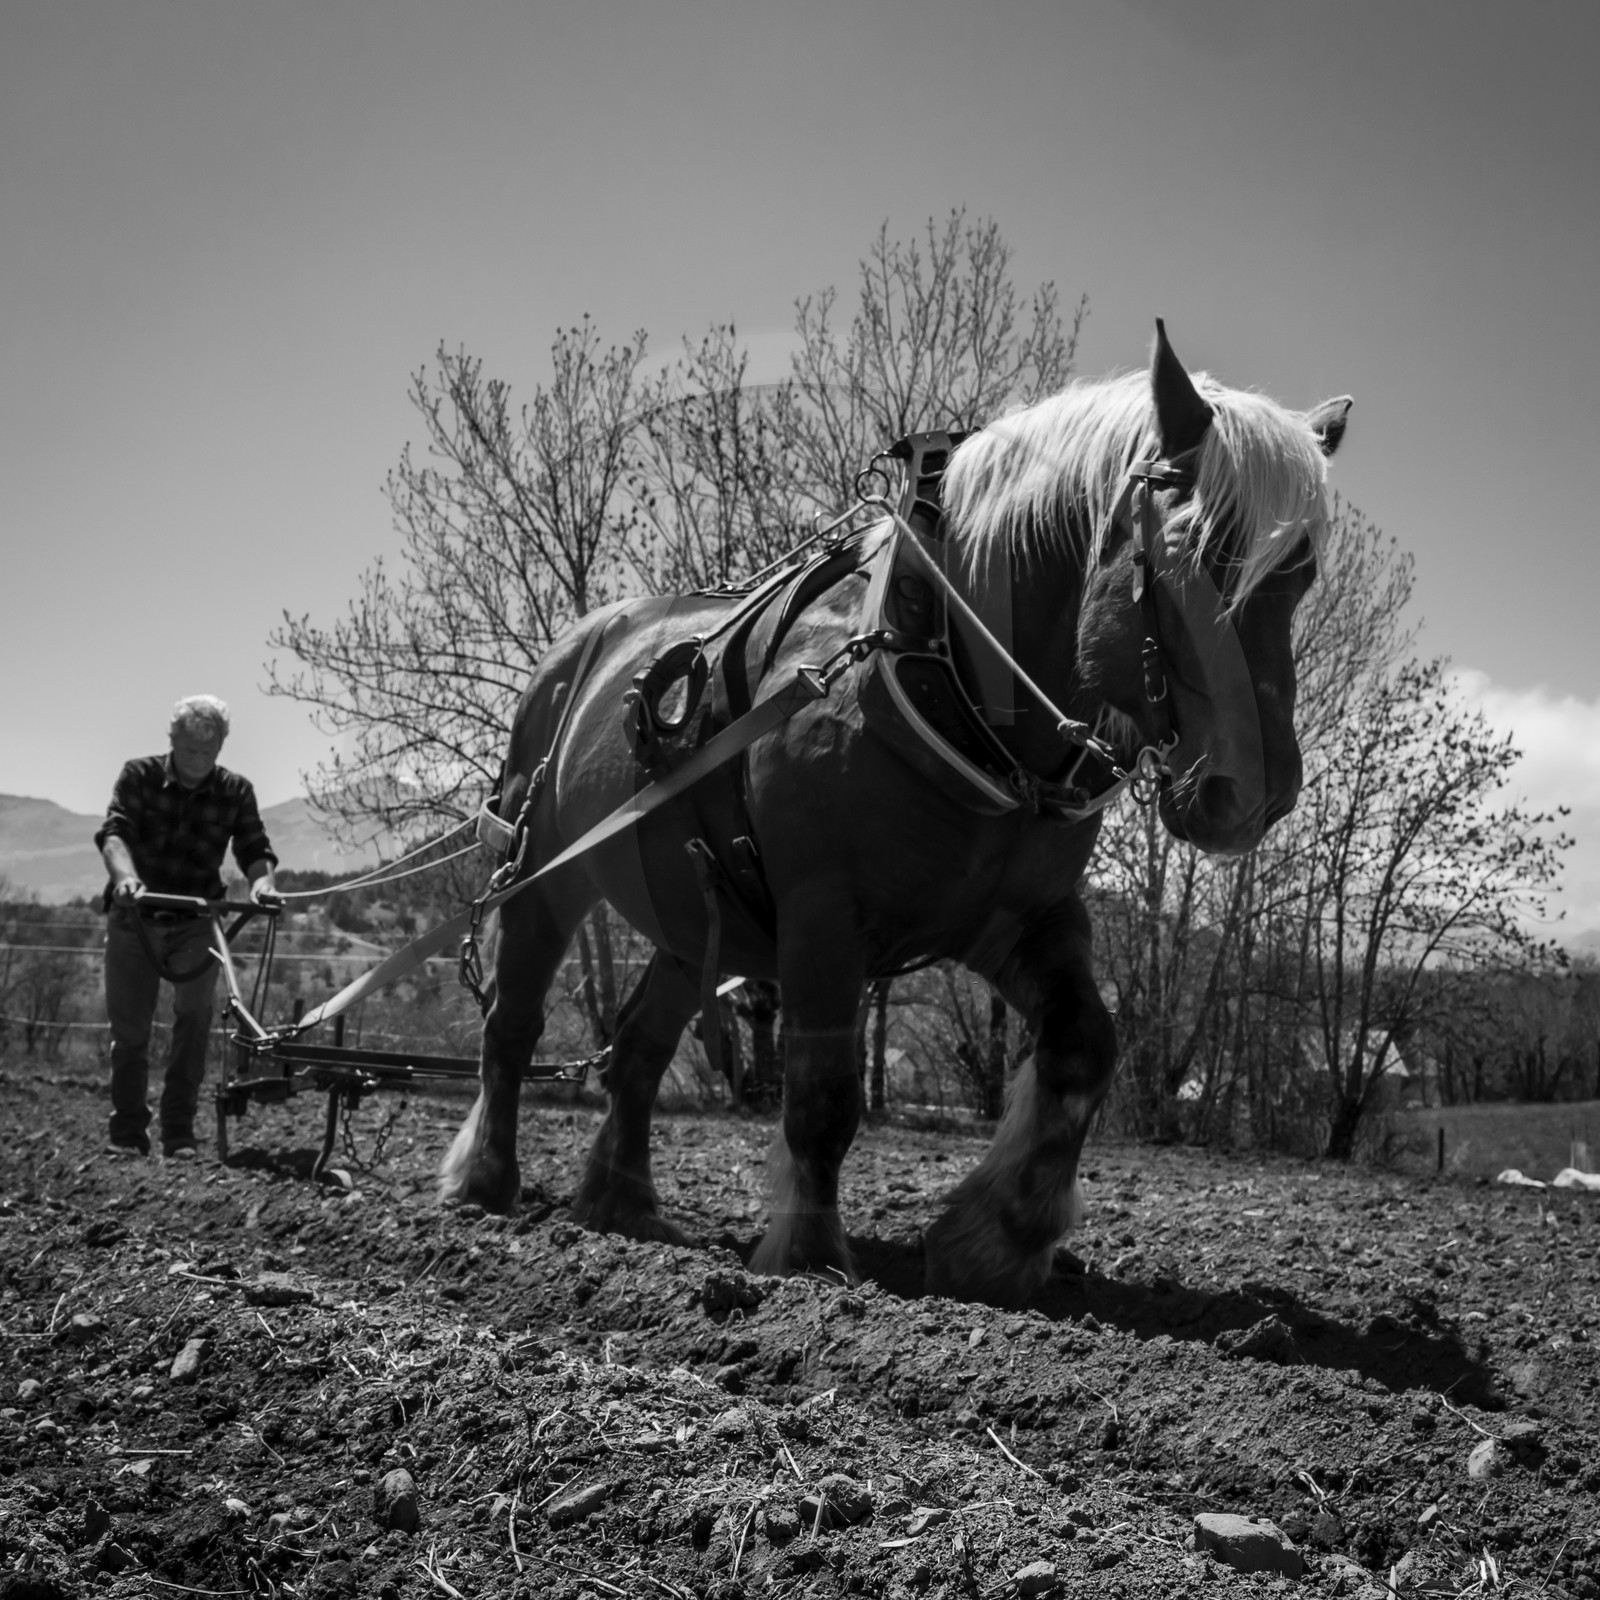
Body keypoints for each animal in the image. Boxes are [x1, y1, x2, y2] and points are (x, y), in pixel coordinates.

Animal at [441, 321, 1352, 1307]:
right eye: (1193, 554)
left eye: (1301, 575)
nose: (1252, 796)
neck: (948, 662)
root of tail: (584, 642)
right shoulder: (822, 916)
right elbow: (825, 1093)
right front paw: (807, 1256)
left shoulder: (1017, 917)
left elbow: (1083, 1044)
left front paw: (997, 1239)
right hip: (542, 872)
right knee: (512, 1024)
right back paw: (484, 1185)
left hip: (694, 908)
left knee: (640, 1044)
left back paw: (622, 1205)